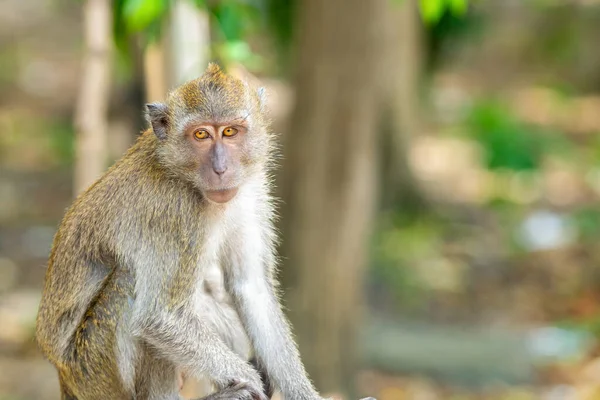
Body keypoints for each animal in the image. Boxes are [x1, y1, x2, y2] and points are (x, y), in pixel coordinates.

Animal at [35, 63, 328, 400]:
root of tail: (64, 378)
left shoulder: (251, 190)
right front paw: (251, 383)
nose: (221, 169)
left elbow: (251, 287)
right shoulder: (174, 210)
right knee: (129, 283)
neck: (185, 176)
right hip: (94, 372)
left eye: (230, 131)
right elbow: (161, 316)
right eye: (201, 134)